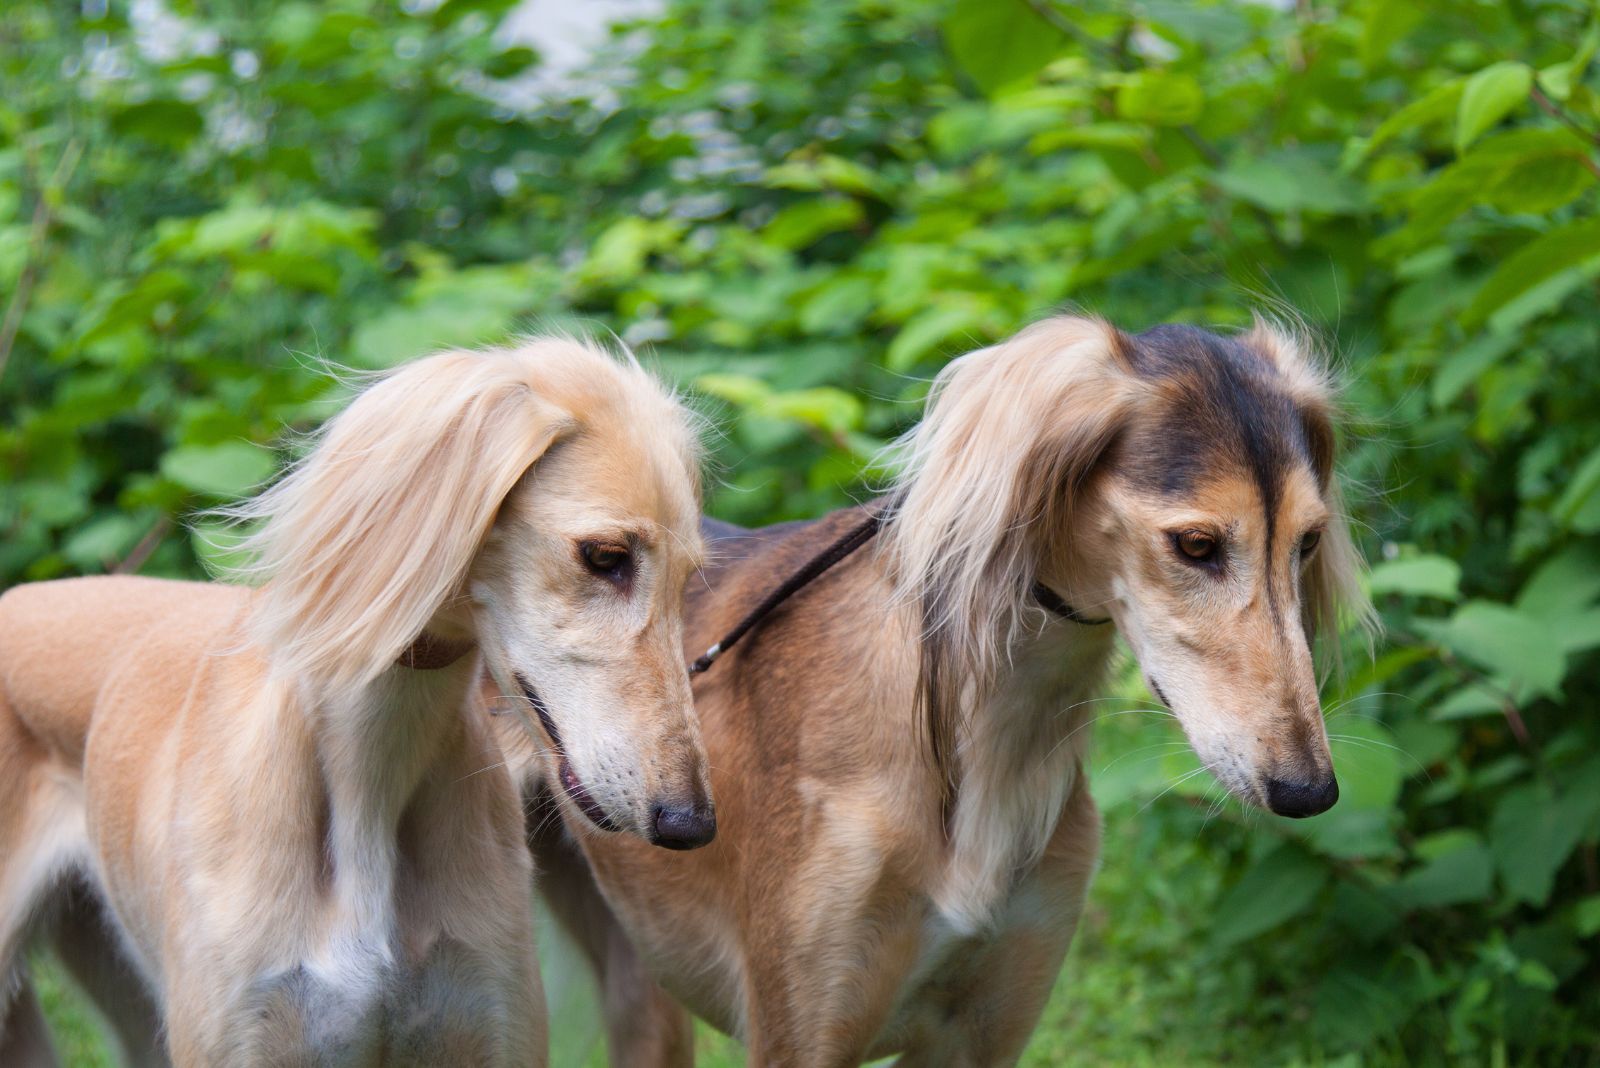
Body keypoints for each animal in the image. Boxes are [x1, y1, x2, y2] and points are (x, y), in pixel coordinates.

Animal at [528, 313, 1376, 1061]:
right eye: (1196, 545)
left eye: (1307, 542)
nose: (1309, 790)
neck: (983, 747)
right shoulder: (799, 1029)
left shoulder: (985, 1031)